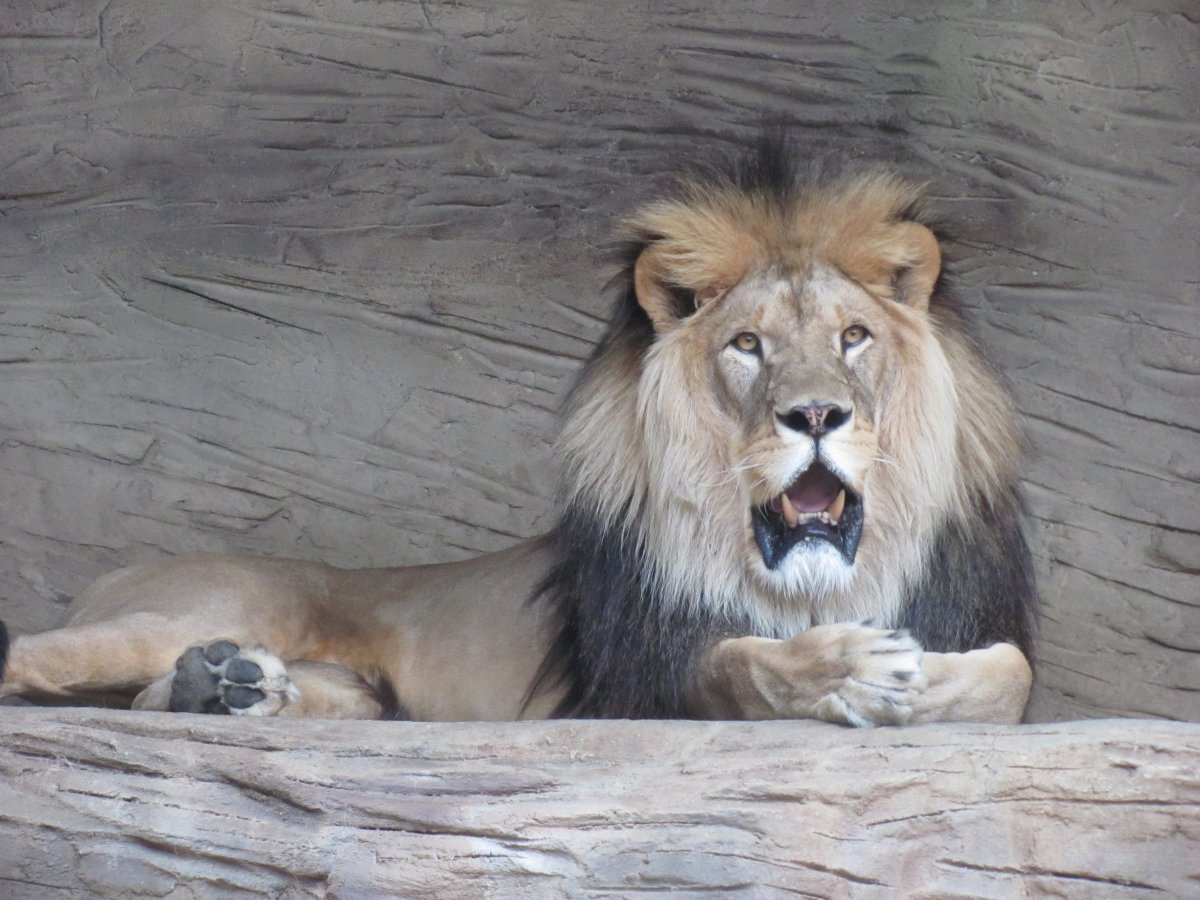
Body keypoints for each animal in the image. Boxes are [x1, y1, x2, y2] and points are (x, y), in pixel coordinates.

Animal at [0, 142, 1032, 734]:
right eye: (748, 345)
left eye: (854, 337)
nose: (816, 415)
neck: (814, 585)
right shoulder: (637, 684)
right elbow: (739, 664)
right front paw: (850, 667)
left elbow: (1011, 674)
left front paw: (927, 682)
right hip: (191, 610)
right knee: (37, 658)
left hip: (355, 691)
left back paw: (223, 689)